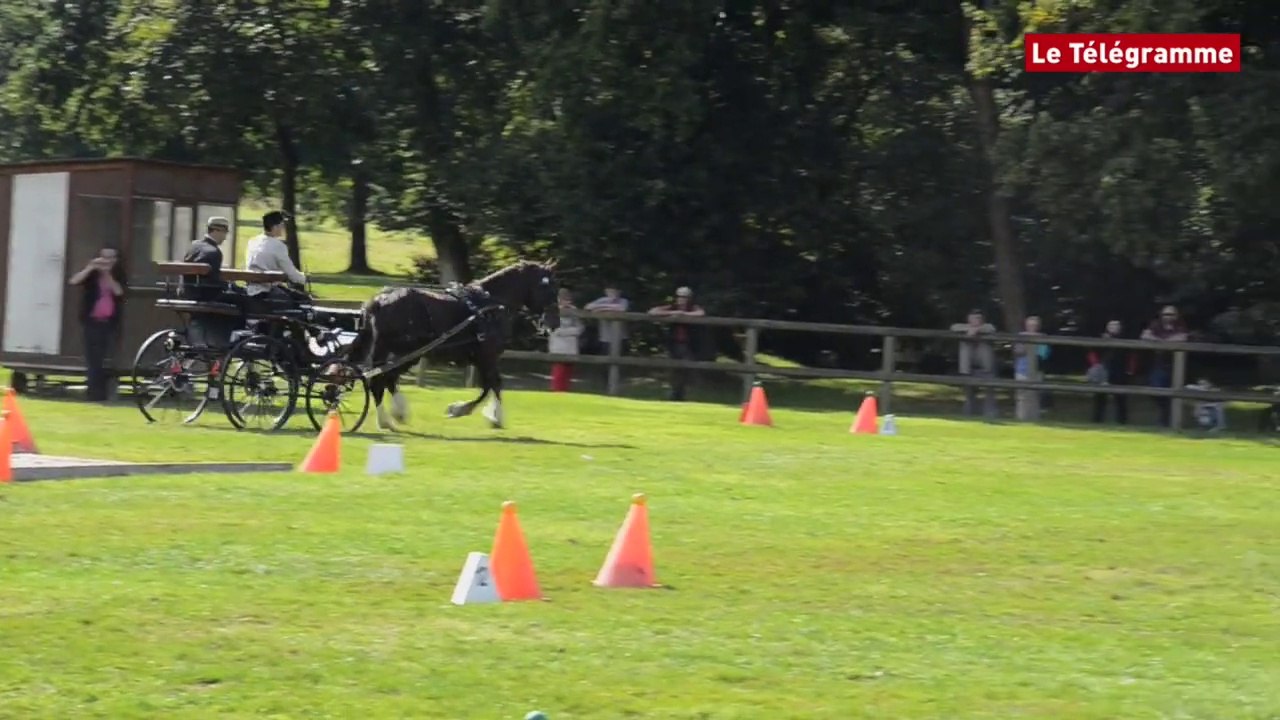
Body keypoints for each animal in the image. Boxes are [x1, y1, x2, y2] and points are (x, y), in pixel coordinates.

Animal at [342, 259, 561, 431]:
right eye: (548, 287)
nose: (555, 323)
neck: (489, 306)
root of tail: (379, 300)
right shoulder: (488, 355)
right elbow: (494, 383)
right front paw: (485, 414)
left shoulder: (480, 358)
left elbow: (488, 385)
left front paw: (468, 410)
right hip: (405, 351)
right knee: (379, 380)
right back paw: (387, 419)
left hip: (402, 353)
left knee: (386, 379)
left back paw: (396, 414)